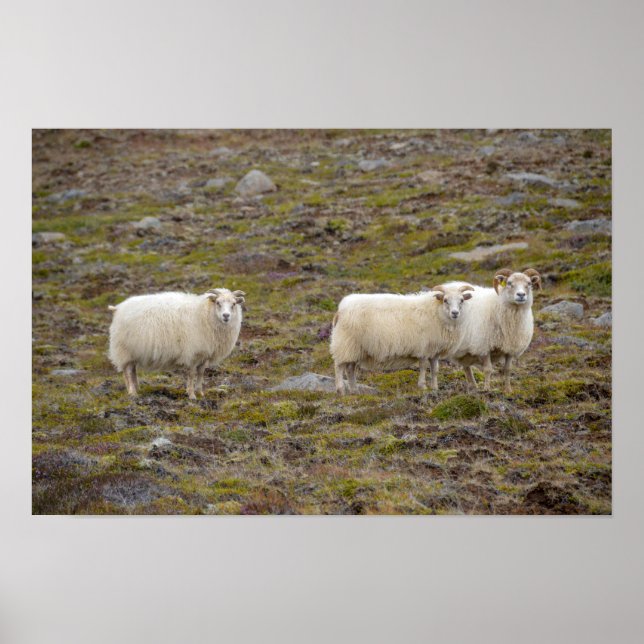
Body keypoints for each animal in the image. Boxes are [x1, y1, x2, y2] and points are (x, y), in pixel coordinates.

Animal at [108, 288, 245, 399]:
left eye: (233, 304)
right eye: (218, 303)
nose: (226, 316)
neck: (204, 313)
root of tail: (118, 308)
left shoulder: (205, 354)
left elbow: (201, 373)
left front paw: (200, 393)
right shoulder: (192, 353)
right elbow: (191, 374)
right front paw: (191, 395)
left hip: (133, 351)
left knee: (132, 371)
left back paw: (136, 389)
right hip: (124, 349)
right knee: (128, 371)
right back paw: (133, 392)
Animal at [329, 283, 475, 395]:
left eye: (462, 300)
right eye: (445, 300)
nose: (455, 313)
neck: (436, 311)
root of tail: (340, 309)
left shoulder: (434, 350)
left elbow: (435, 369)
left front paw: (435, 388)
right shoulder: (423, 347)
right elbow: (423, 366)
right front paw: (423, 386)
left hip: (355, 347)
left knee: (350, 368)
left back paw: (354, 390)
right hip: (345, 343)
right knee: (339, 366)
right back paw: (341, 390)